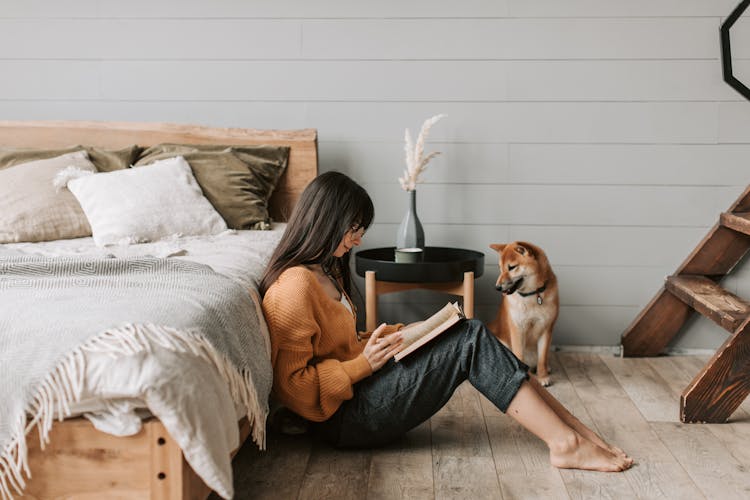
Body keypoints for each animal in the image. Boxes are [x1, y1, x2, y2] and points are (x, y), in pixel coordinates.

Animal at [488, 242, 560, 386]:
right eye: (500, 268)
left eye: (511, 267)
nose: (497, 287)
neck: (532, 296)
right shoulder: (518, 329)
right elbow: (519, 356)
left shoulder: (546, 330)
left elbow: (542, 359)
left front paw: (542, 377)